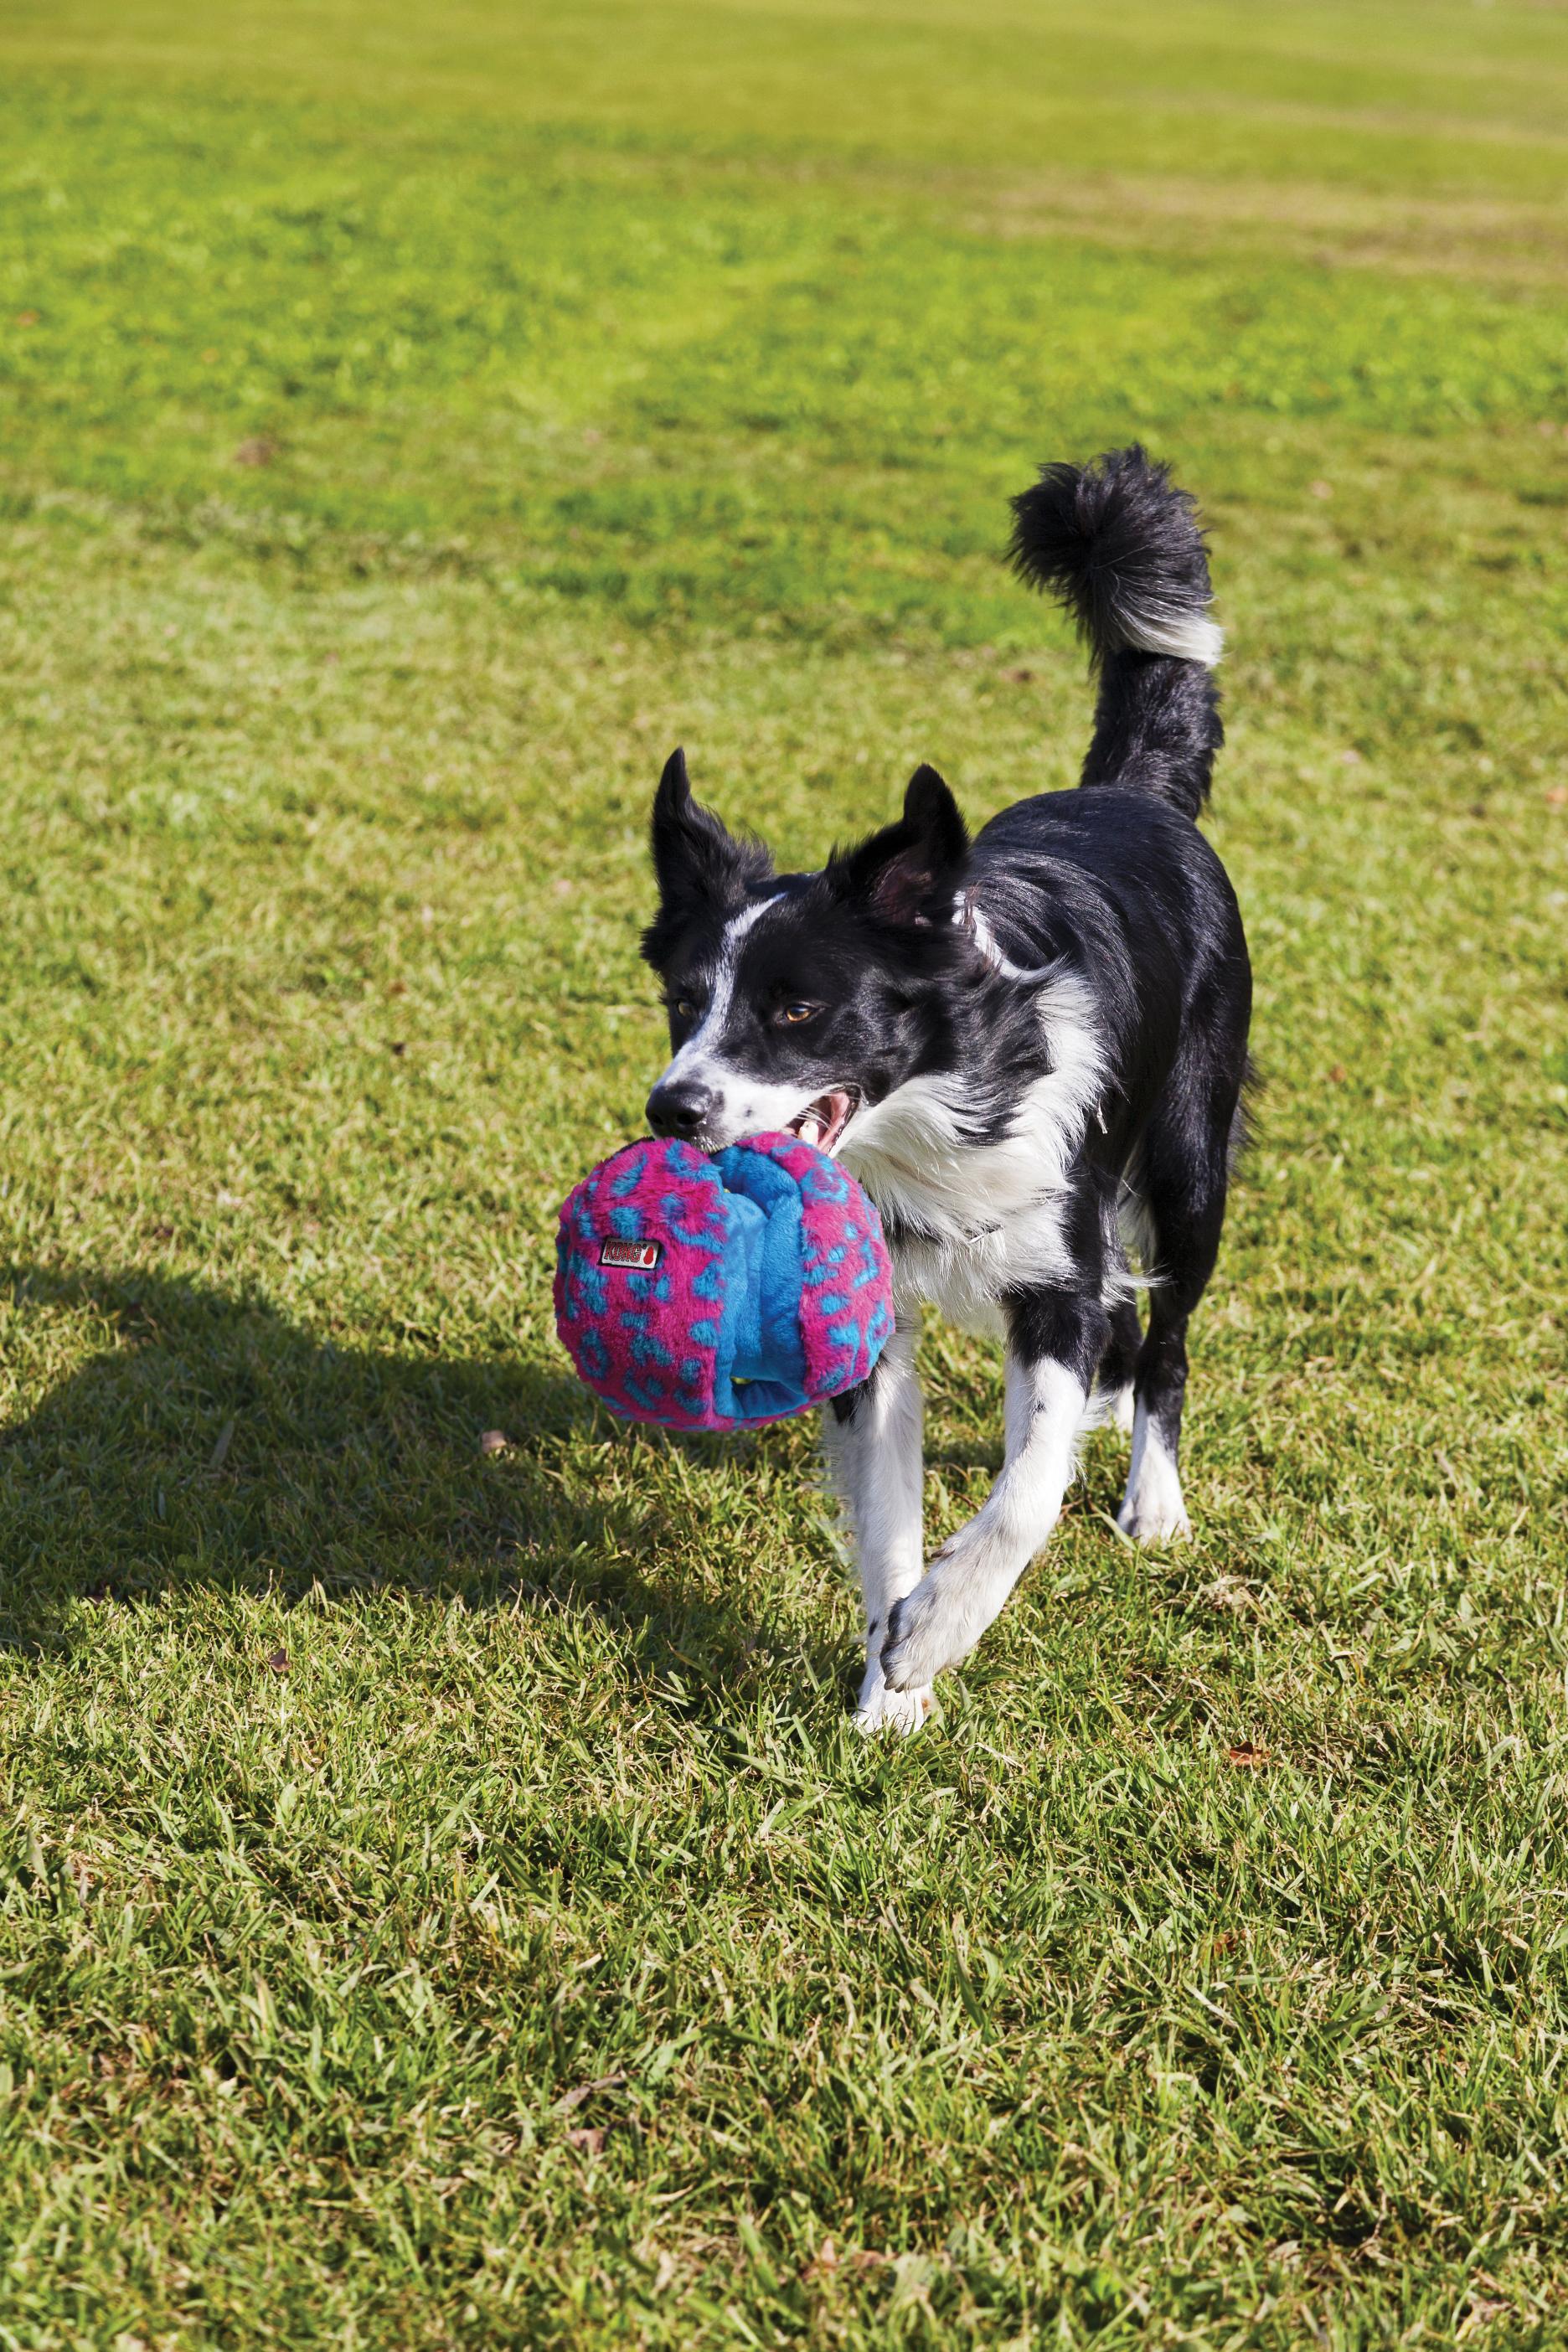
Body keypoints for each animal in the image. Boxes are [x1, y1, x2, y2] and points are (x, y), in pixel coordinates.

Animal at [639, 444, 1251, 1730]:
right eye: (683, 999)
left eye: (799, 1010)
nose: (673, 1110)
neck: (935, 1113)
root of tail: (1134, 796)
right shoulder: (865, 1302)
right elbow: (890, 1513)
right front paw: (890, 1690)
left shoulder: (1057, 1271)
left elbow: (1026, 1489)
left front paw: (937, 1633)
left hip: (1188, 1164)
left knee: (1166, 1333)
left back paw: (1154, 1498)